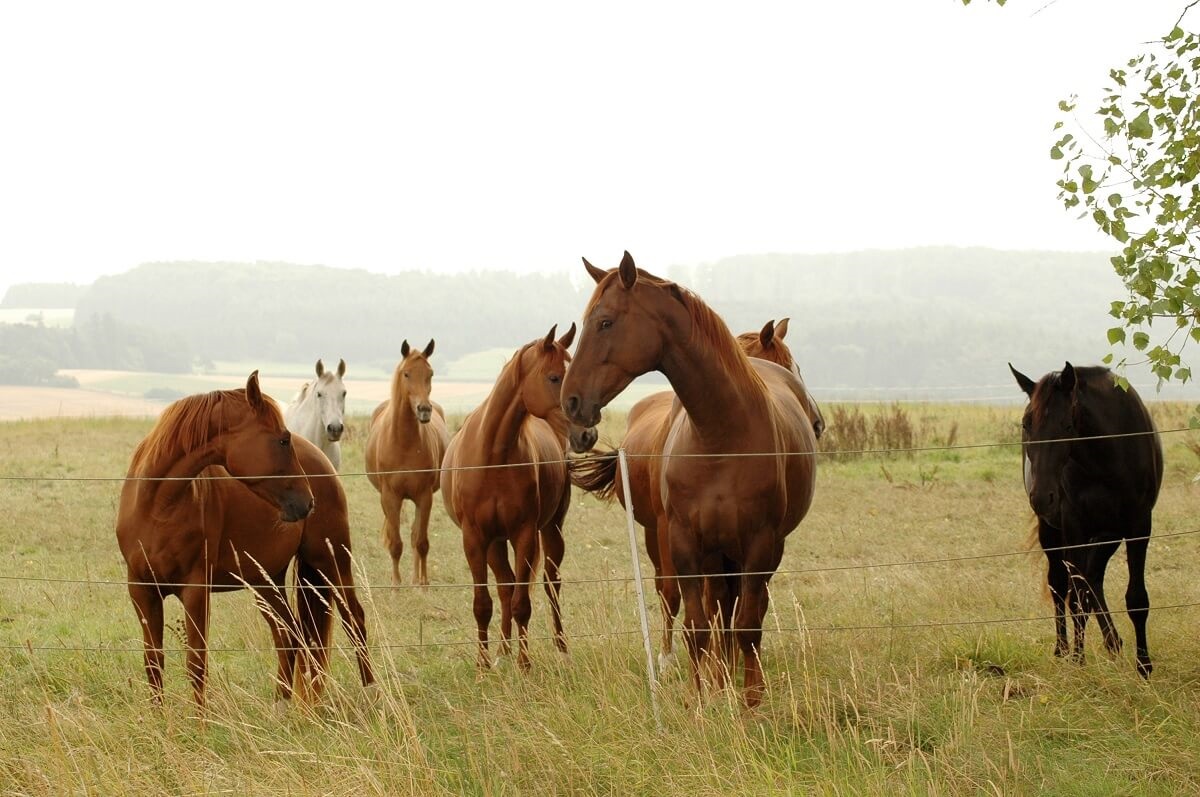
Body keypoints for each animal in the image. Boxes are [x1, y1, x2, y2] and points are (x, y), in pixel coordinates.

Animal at [115, 374, 374, 710]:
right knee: (289, 634)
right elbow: (153, 663)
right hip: (266, 581)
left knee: (354, 621)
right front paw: (159, 718)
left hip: (331, 562)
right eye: (282, 440)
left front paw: (199, 721)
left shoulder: (196, 591)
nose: (307, 503)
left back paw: (372, 694)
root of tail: (322, 461)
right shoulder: (142, 591)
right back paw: (282, 706)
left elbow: (196, 664)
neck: (158, 506)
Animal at [444, 321, 578, 667]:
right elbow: (483, 603)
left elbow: (523, 603)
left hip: (552, 529)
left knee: (550, 584)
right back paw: (502, 649)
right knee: (505, 585)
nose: (587, 433)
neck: (493, 454)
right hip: (495, 541)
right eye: (554, 377)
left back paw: (561, 647)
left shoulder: (524, 534)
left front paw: (525, 664)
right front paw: (482, 665)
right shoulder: (475, 537)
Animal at [561, 252, 816, 705]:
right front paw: (701, 700)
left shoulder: (760, 543)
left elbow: (748, 625)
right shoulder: (685, 541)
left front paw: (751, 702)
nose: (571, 403)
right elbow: (696, 626)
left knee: (741, 610)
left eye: (605, 322)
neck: (720, 434)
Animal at [1008, 364, 1166, 676]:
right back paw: (1063, 649)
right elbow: (1076, 600)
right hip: (1053, 534)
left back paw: (1113, 642)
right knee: (1061, 586)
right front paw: (1078, 662)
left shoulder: (1139, 526)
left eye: (1068, 426)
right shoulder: (1074, 528)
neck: (1107, 458)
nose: (1042, 497)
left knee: (1093, 579)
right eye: (1026, 424)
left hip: (1107, 535)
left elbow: (1136, 599)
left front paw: (1144, 666)